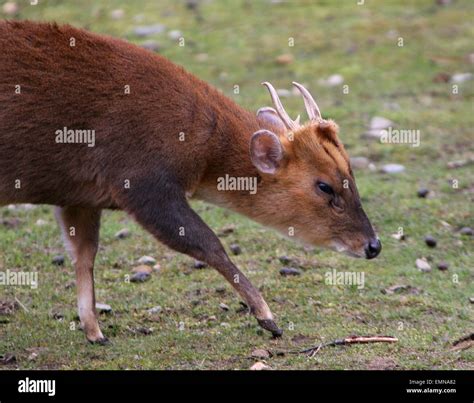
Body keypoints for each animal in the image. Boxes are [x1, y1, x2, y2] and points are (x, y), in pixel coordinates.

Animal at [0, 20, 380, 344]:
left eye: (351, 173)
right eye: (324, 185)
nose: (373, 245)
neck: (200, 146)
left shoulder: (80, 195)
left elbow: (84, 253)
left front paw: (94, 331)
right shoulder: (141, 181)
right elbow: (207, 243)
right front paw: (268, 318)